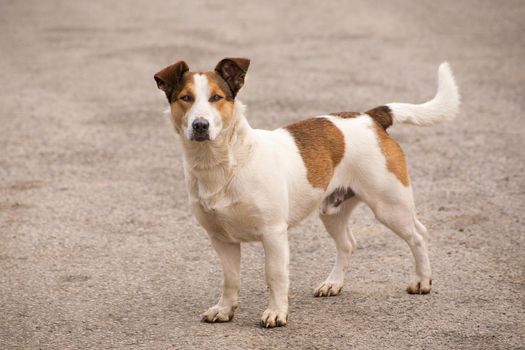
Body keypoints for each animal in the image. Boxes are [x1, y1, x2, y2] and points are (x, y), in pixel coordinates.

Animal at [151, 58, 458, 328]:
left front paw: (276, 313)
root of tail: (371, 117)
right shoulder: (221, 240)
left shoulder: (273, 234)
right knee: (348, 244)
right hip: (332, 210)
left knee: (418, 235)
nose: (200, 125)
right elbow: (231, 279)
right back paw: (333, 283)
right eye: (185, 98)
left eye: (216, 97)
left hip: (390, 206)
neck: (227, 164)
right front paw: (225, 310)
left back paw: (422, 281)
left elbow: (275, 276)